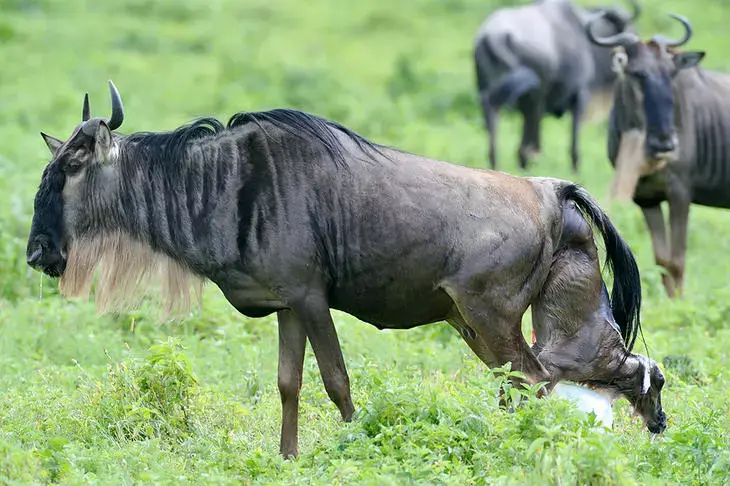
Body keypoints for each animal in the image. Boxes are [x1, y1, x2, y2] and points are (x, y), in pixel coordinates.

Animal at [27, 79, 664, 456]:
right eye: (48, 167)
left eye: (74, 165)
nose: (37, 253)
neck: (224, 184)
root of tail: (552, 192)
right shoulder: (286, 304)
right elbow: (288, 383)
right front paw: (287, 458)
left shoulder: (312, 299)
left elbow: (336, 380)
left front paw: (355, 448)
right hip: (508, 318)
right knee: (596, 370)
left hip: (489, 317)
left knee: (535, 381)